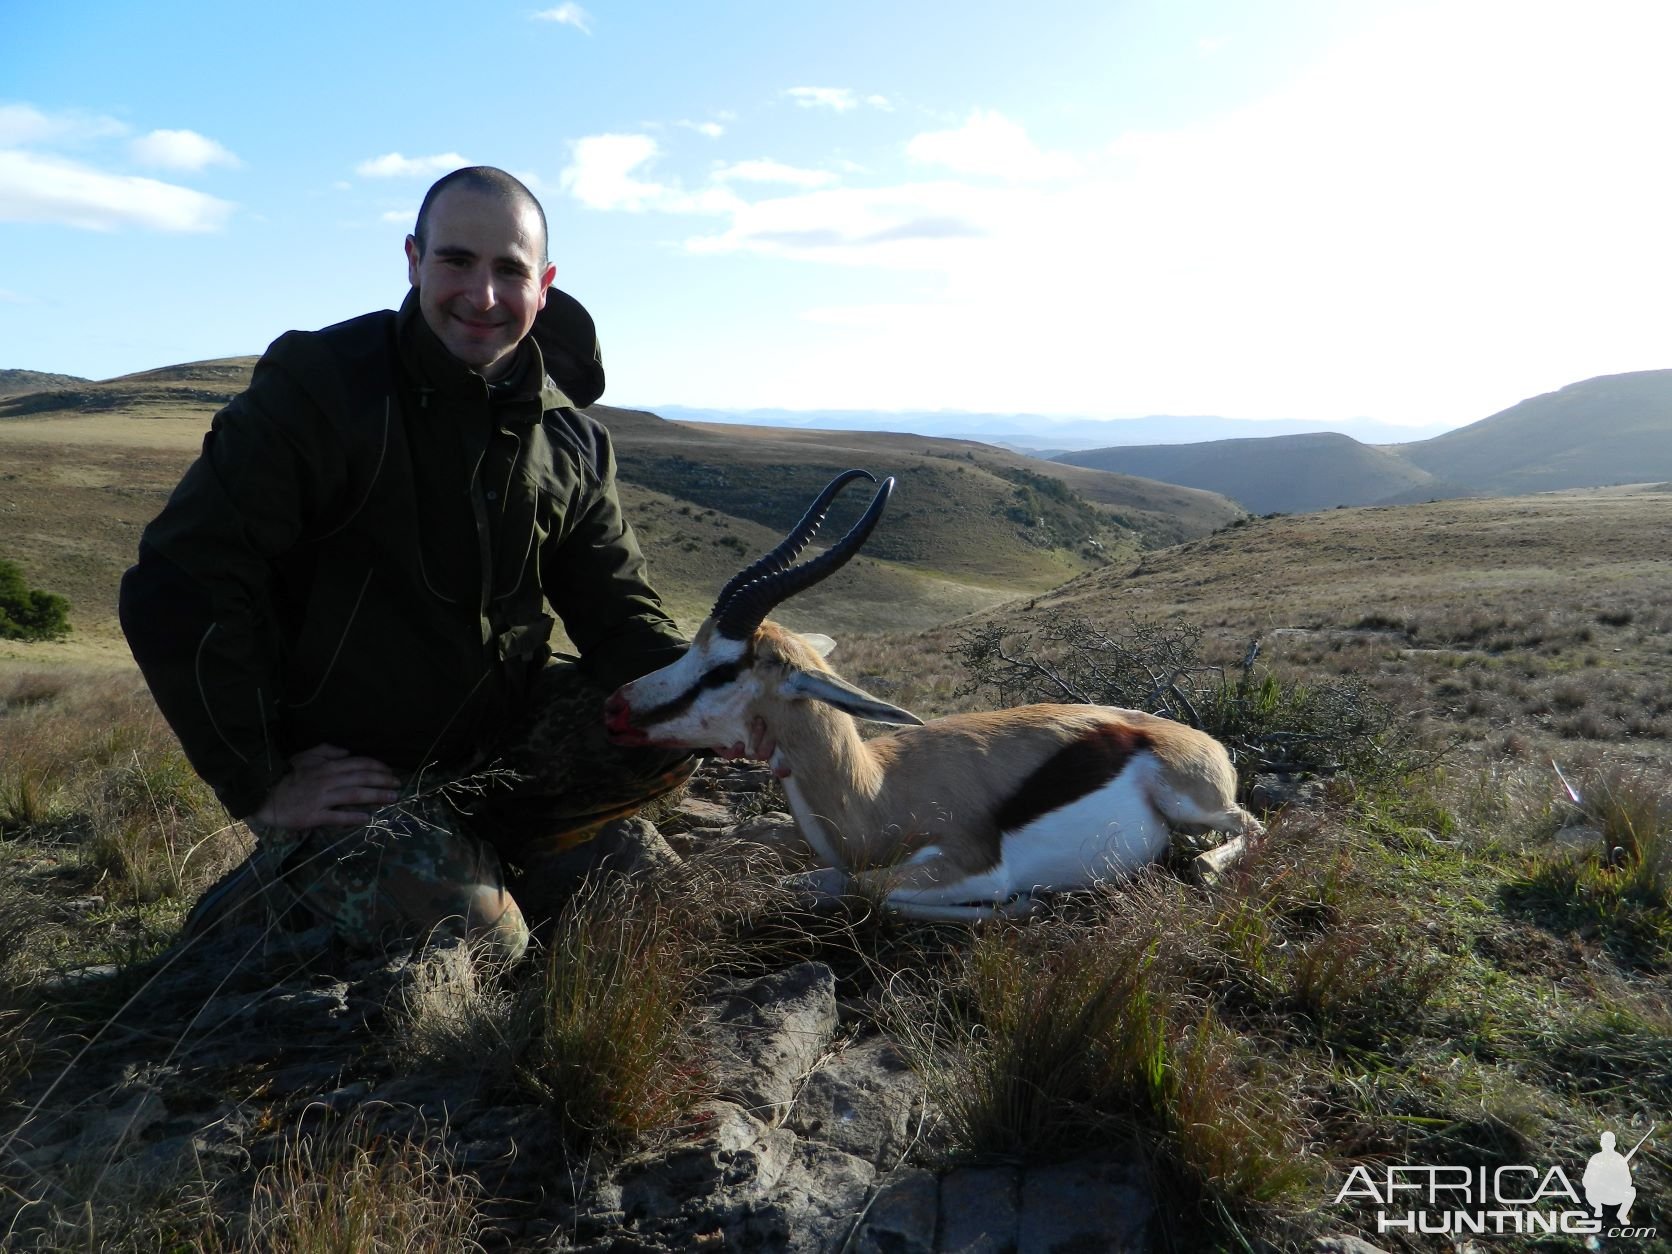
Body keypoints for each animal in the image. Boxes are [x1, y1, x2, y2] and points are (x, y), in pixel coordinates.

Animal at [608, 471, 1257, 922]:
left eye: (722, 669)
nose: (617, 705)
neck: (873, 793)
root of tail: (1190, 736)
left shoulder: (971, 866)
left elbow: (868, 890)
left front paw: (1022, 905)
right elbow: (811, 884)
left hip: (1196, 804)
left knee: (1244, 829)